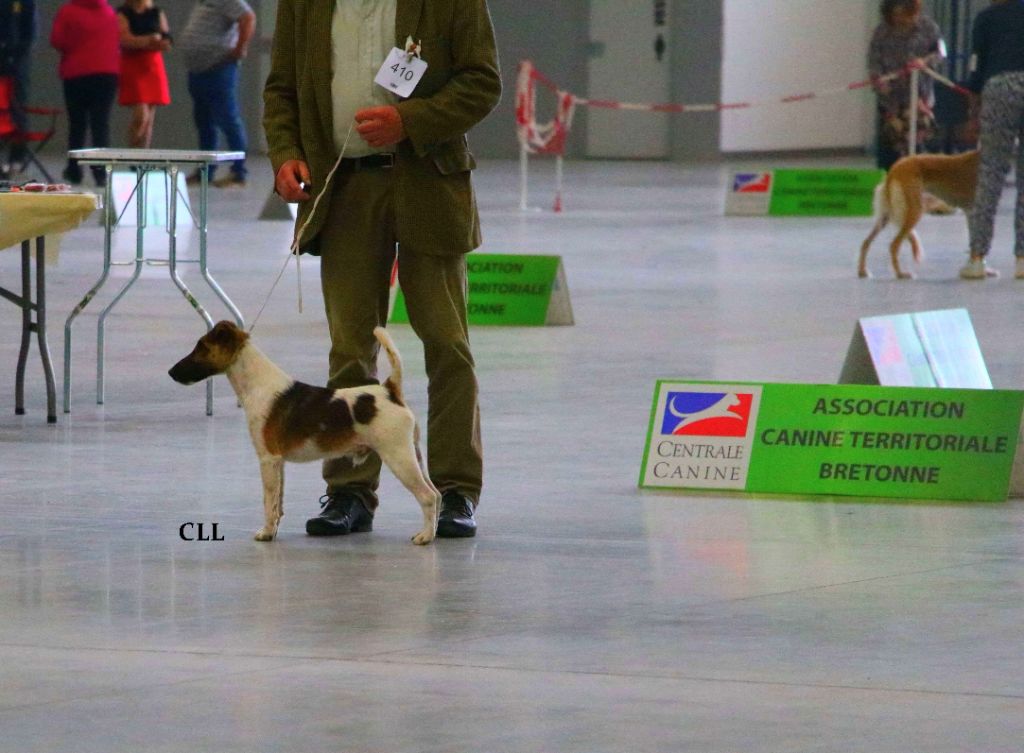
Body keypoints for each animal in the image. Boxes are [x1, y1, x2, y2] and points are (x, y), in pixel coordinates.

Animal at [168, 321, 440, 545]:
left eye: (201, 347)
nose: (171, 372)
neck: (258, 384)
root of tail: (390, 391)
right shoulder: (279, 463)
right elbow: (278, 503)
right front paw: (274, 530)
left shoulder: (268, 459)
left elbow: (268, 500)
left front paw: (265, 533)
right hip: (414, 455)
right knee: (436, 494)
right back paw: (433, 532)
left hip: (399, 457)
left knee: (427, 496)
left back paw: (425, 537)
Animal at [856, 150, 974, 280]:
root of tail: (894, 168)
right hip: (915, 210)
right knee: (894, 245)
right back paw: (900, 273)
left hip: (886, 216)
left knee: (866, 242)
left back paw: (862, 271)